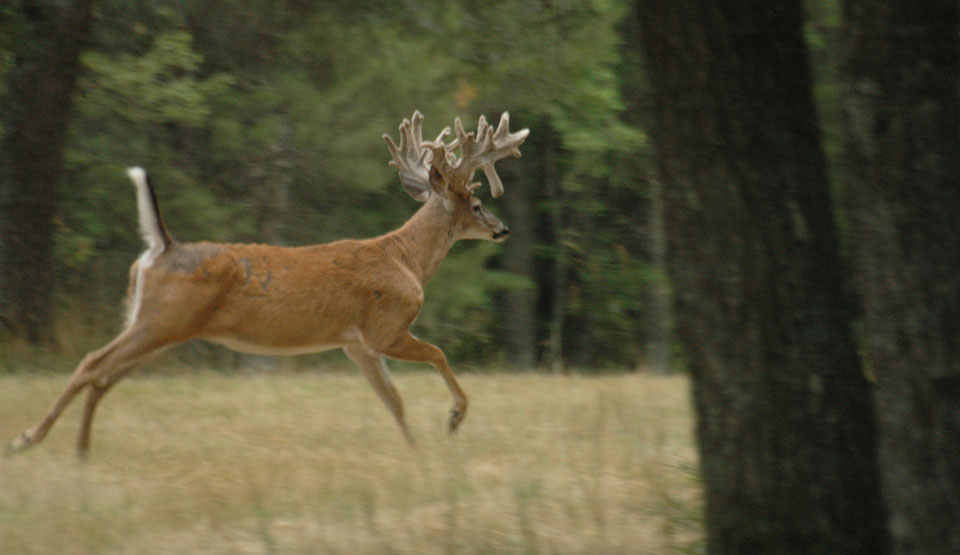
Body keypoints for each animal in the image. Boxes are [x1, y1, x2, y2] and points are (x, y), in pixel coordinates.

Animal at [5, 111, 524, 458]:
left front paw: (416, 452)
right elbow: (438, 354)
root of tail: (163, 245)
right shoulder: (386, 327)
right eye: (477, 203)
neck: (406, 260)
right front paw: (455, 418)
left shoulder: (355, 344)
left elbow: (393, 400)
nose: (502, 229)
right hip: (161, 321)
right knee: (92, 363)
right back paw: (27, 438)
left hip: (158, 326)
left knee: (104, 377)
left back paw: (80, 451)